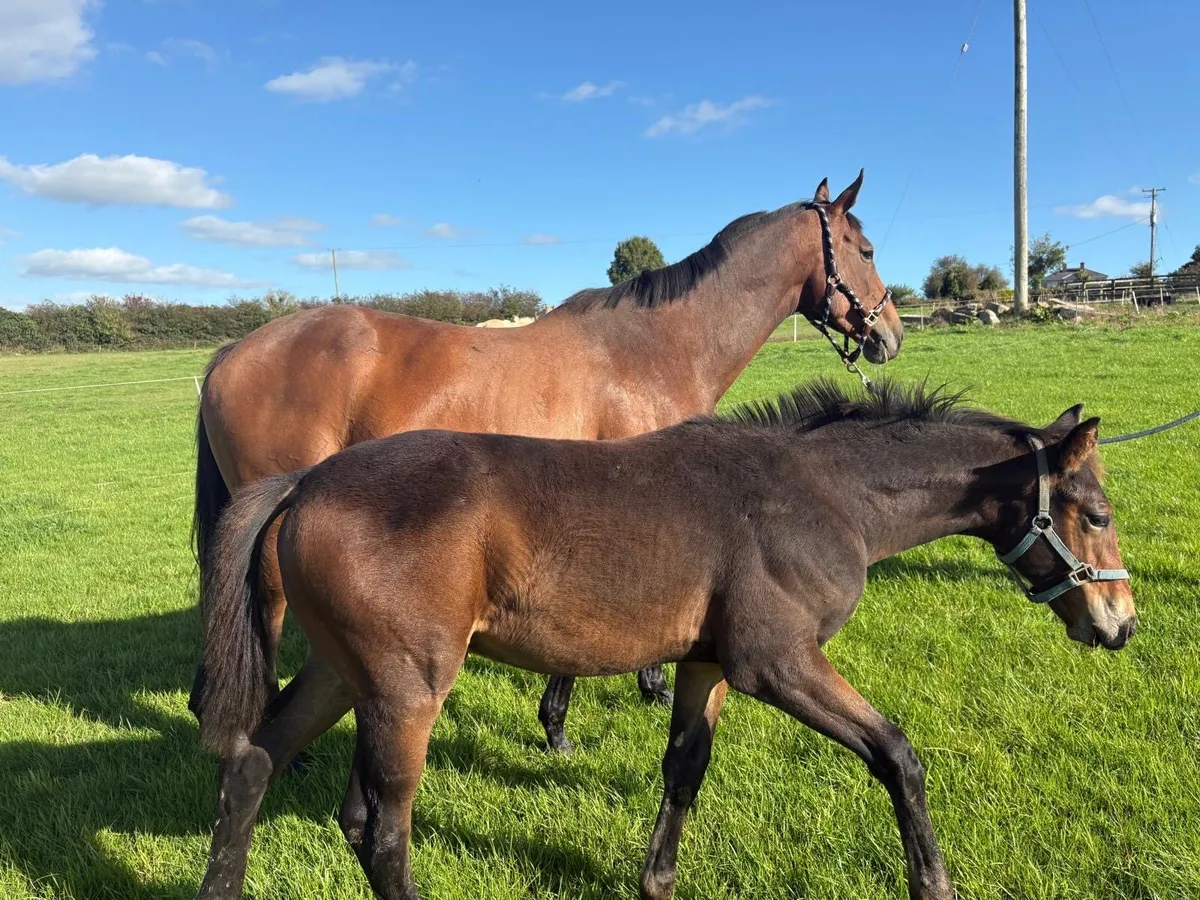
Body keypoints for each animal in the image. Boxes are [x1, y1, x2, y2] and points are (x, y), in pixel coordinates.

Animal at [192, 378, 1134, 900]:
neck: (823, 492)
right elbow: (896, 754)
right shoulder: (776, 662)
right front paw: (933, 883)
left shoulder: (707, 664)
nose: (1120, 624)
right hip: (406, 689)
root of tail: (306, 481)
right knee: (383, 834)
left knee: (253, 769)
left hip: (340, 675)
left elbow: (684, 770)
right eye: (1096, 513)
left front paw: (657, 882)